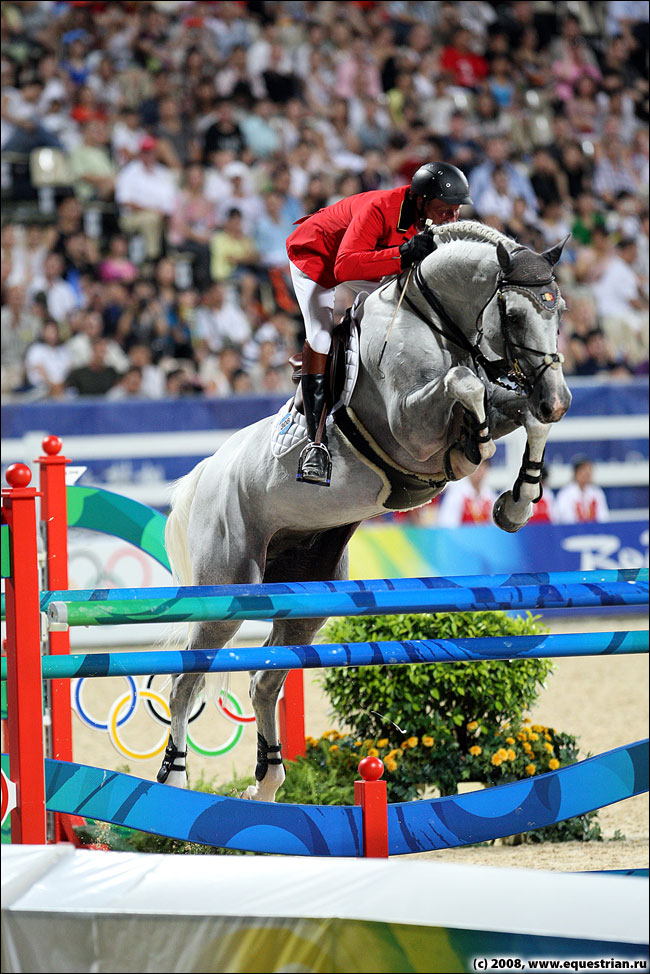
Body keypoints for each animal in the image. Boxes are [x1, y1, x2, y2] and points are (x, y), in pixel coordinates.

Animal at [159, 221, 568, 800]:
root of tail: (207, 473)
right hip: (228, 590)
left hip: (307, 596)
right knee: (185, 678)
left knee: (264, 679)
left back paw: (269, 781)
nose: (557, 396)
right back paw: (176, 776)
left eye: (561, 309)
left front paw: (517, 502)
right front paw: (480, 443)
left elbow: (525, 417)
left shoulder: (500, 399)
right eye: (512, 315)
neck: (434, 319)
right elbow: (464, 387)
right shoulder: (410, 429)